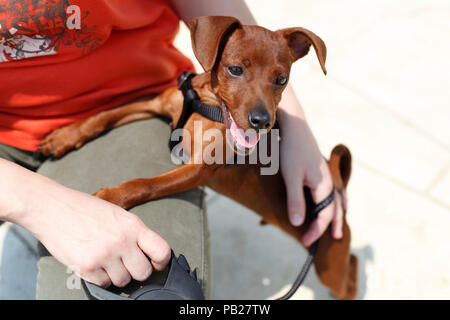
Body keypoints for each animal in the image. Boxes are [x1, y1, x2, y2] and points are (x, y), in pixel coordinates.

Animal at [39, 15, 356, 300]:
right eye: (235, 69)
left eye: (281, 80)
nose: (262, 121)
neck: (204, 105)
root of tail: (337, 192)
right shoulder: (155, 105)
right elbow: (104, 116)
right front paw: (66, 135)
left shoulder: (198, 170)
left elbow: (144, 183)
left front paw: (109, 198)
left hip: (329, 260)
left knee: (349, 269)